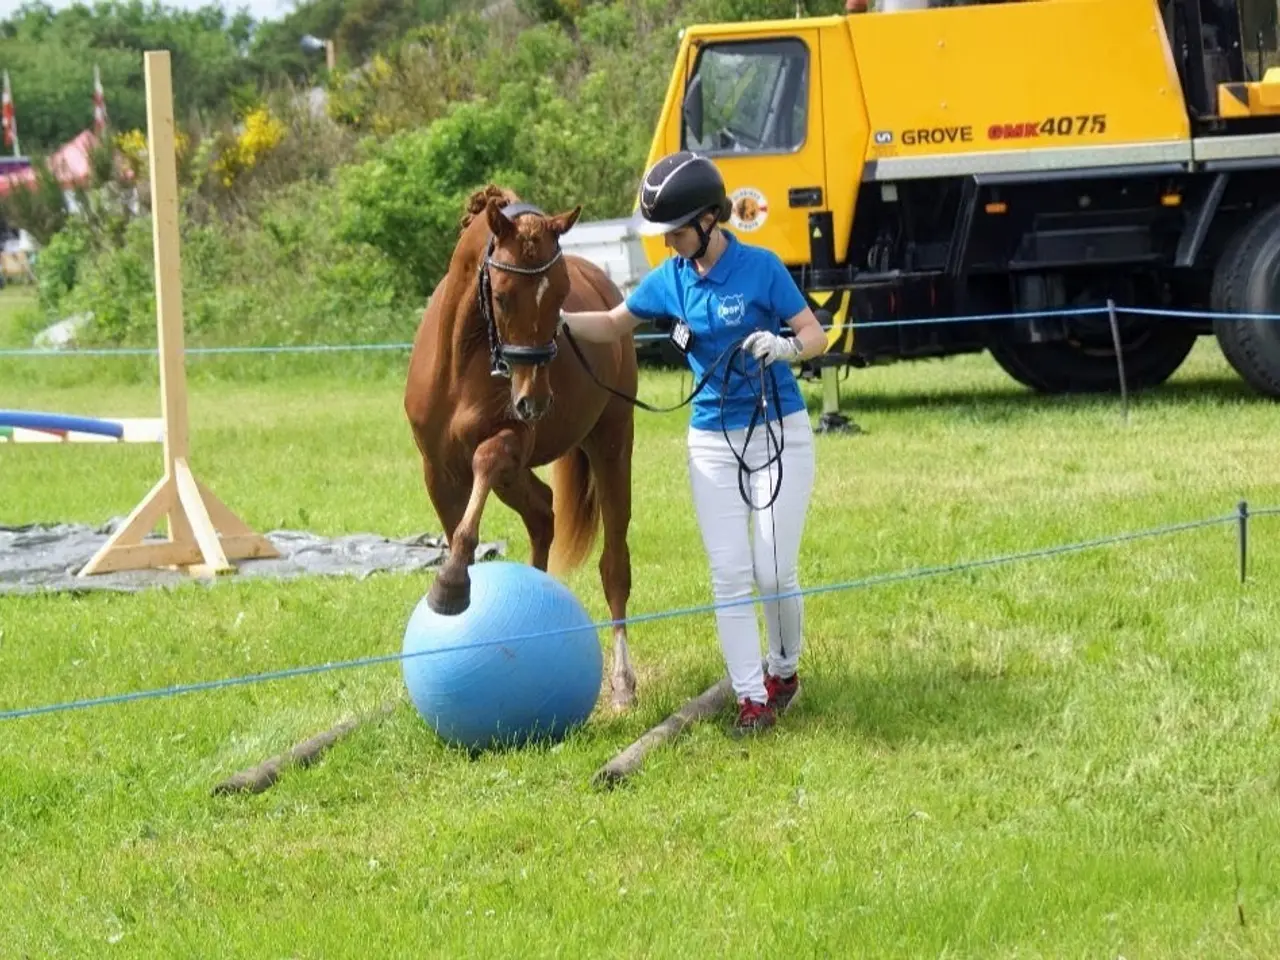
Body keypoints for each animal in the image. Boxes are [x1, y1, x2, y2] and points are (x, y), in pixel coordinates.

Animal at [403, 184, 641, 711]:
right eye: (504, 296)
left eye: (560, 295)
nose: (534, 401)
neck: (463, 358)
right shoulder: (438, 472)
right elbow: (459, 531)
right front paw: (455, 585)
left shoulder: (506, 444)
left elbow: (485, 461)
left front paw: (450, 586)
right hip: (521, 477)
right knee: (543, 512)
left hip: (611, 445)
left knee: (614, 565)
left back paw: (622, 682)